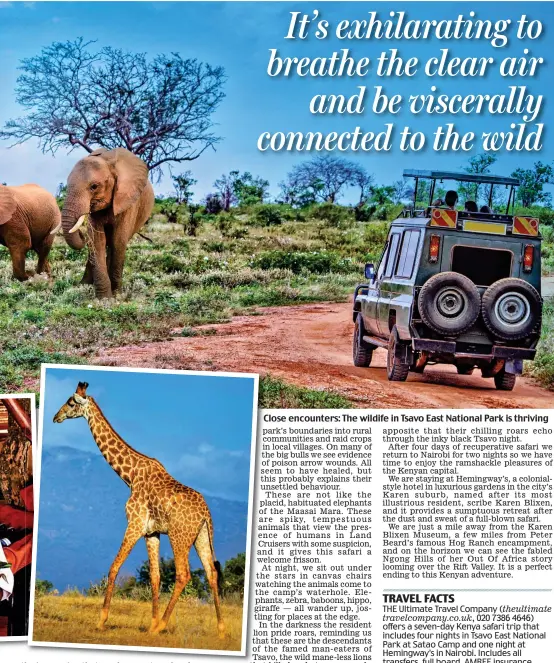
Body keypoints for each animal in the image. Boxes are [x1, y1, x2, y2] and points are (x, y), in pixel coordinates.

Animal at [52, 384, 224, 640]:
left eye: (71, 402)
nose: (56, 417)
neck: (130, 476)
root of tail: (205, 512)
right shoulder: (151, 532)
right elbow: (155, 576)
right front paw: (151, 623)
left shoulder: (134, 523)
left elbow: (114, 567)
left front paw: (101, 621)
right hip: (201, 535)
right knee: (211, 573)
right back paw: (220, 630)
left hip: (180, 536)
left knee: (183, 573)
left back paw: (163, 625)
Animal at [60, 149, 154, 300]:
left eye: (94, 186)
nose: (81, 233)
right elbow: (98, 241)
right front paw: (104, 299)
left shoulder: (127, 200)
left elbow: (118, 241)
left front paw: (116, 296)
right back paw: (83, 285)